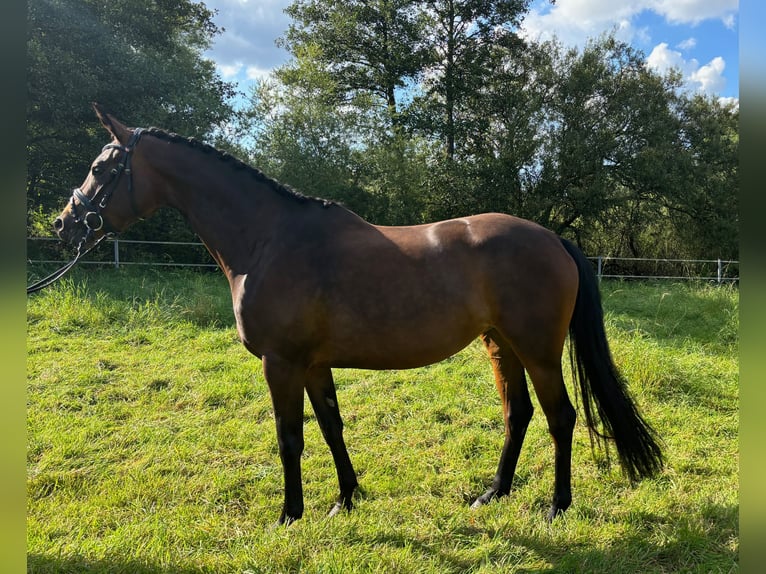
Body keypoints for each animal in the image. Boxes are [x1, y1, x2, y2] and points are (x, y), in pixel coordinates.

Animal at [54, 103, 664, 528]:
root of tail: (553, 239)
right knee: (519, 415)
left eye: (100, 168)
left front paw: (289, 515)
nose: (63, 224)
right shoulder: (311, 364)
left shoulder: (281, 363)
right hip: (500, 344)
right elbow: (330, 426)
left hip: (537, 350)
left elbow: (290, 438)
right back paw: (493, 492)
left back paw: (558, 507)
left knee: (560, 417)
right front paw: (346, 499)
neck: (269, 240)